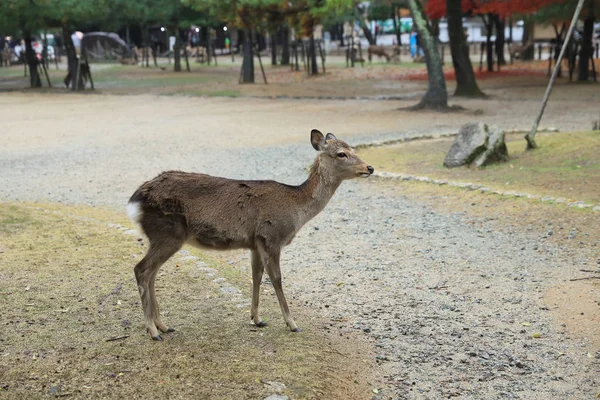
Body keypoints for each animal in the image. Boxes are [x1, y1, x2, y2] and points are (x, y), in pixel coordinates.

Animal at [127, 130, 376, 340]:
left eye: (353, 148)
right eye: (341, 153)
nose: (370, 167)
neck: (296, 209)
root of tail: (134, 201)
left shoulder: (255, 243)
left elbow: (256, 275)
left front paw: (257, 319)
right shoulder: (272, 237)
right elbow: (276, 278)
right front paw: (292, 323)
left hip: (161, 237)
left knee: (151, 273)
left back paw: (163, 325)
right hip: (168, 233)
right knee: (142, 269)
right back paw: (153, 331)